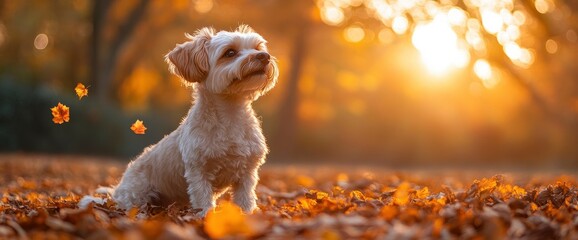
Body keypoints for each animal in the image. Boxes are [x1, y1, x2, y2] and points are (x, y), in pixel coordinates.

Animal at [80, 25, 278, 217]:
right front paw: (206, 218)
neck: (231, 114)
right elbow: (203, 200)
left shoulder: (246, 173)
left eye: (257, 47)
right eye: (230, 52)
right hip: (137, 195)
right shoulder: (198, 172)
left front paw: (247, 216)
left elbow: (245, 199)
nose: (264, 56)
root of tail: (117, 192)